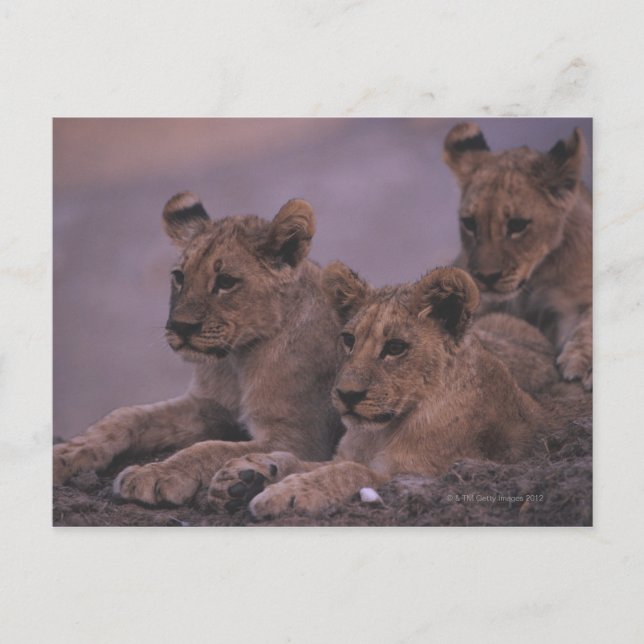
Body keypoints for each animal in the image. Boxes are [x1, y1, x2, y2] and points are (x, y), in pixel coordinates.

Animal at [53, 192, 345, 506]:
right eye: (179, 276)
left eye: (226, 281)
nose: (180, 327)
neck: (237, 362)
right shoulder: (205, 405)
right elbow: (128, 415)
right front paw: (65, 454)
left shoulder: (299, 438)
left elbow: (210, 448)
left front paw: (156, 474)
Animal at [207, 263, 549, 518]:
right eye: (348, 340)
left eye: (396, 348)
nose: (347, 395)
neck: (380, 433)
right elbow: (305, 461)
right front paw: (244, 474)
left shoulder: (419, 474)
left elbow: (351, 472)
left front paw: (285, 492)